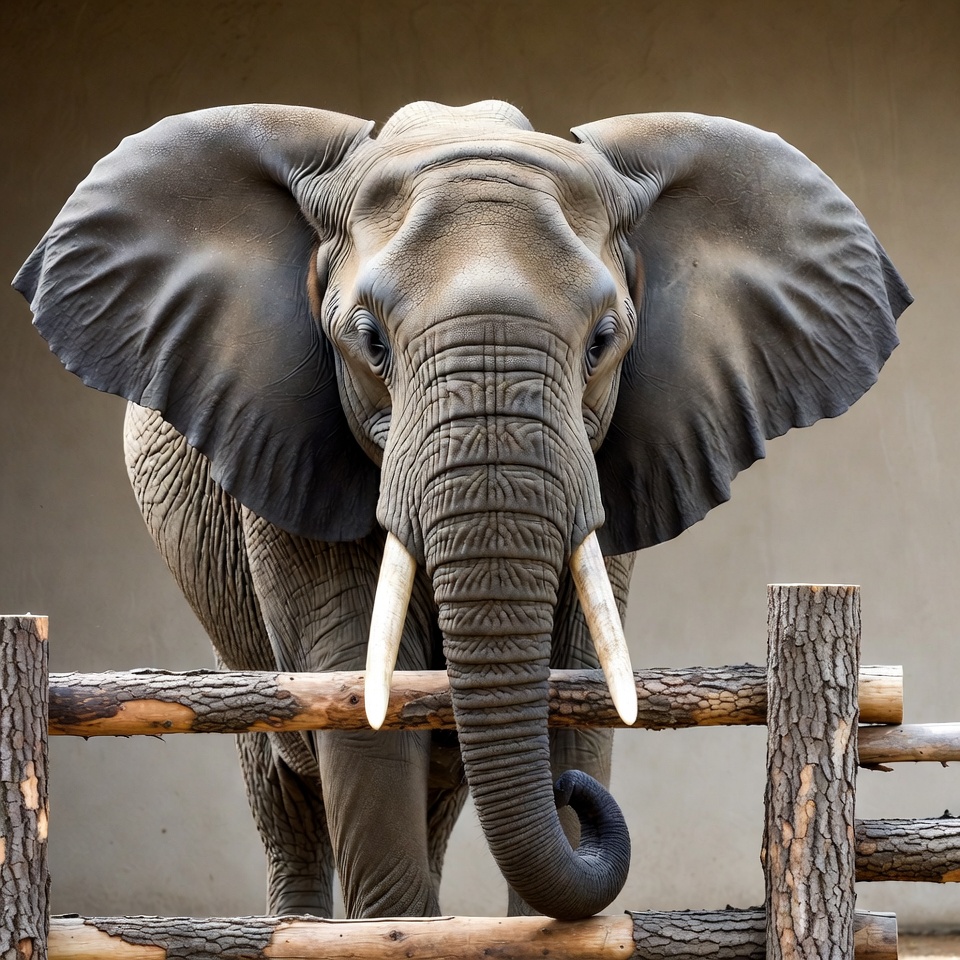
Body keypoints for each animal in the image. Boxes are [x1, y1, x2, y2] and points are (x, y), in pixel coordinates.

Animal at [14, 99, 910, 921]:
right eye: (370, 341)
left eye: (603, 341)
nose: (575, 798)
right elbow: (360, 703)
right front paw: (397, 929)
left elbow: (577, 688)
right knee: (284, 786)